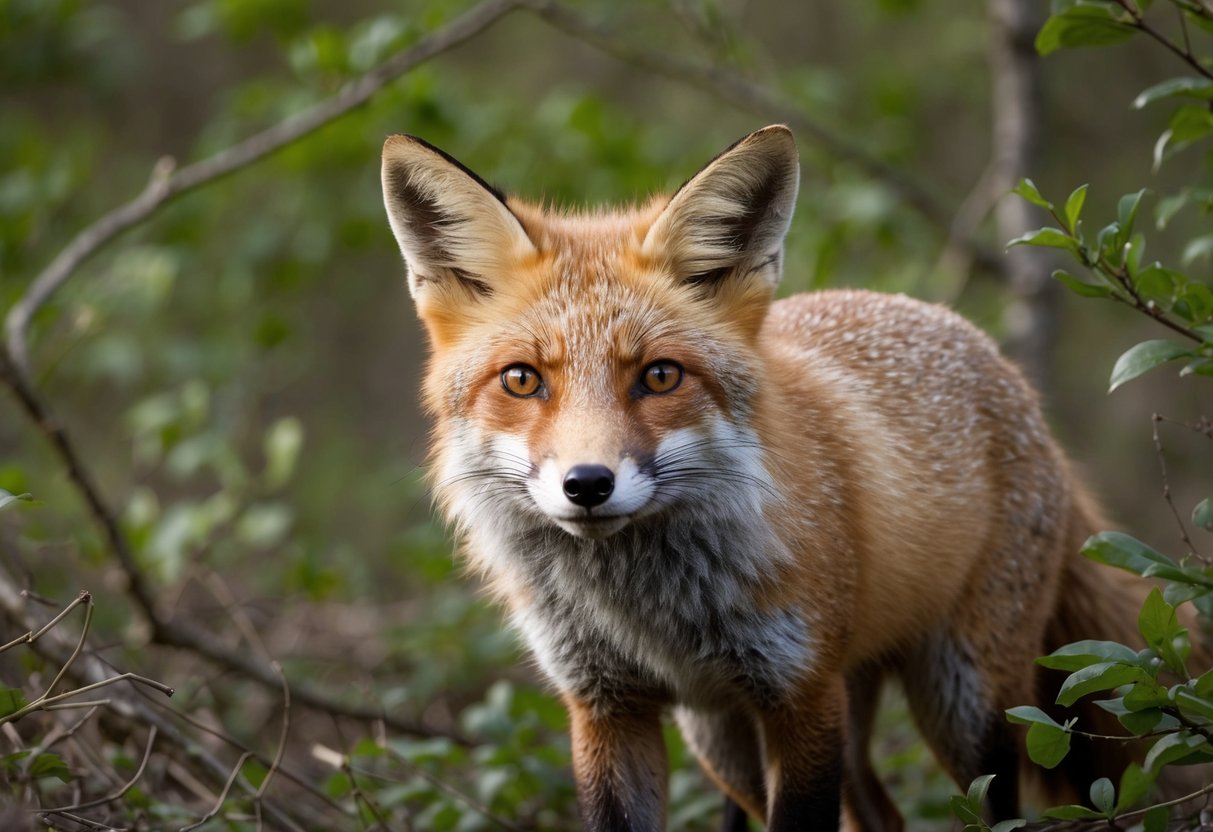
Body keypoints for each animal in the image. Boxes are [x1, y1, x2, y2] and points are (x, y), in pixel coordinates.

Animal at [379, 125, 1177, 830]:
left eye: (659, 376)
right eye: (521, 380)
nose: (587, 484)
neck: (650, 612)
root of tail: (1005, 372)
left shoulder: (799, 693)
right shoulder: (608, 707)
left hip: (964, 701)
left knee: (988, 808)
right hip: (726, 738)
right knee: (878, 817)